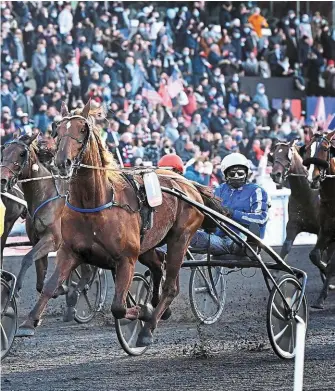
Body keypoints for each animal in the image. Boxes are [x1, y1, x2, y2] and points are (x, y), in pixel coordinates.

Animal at [17, 101, 228, 346]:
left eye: (82, 129)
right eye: (56, 129)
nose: (62, 162)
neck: (95, 203)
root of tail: (189, 184)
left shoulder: (126, 258)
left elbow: (118, 306)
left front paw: (143, 311)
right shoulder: (69, 252)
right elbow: (49, 287)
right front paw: (28, 322)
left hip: (180, 239)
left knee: (170, 287)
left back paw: (148, 328)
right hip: (148, 245)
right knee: (158, 265)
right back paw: (159, 308)